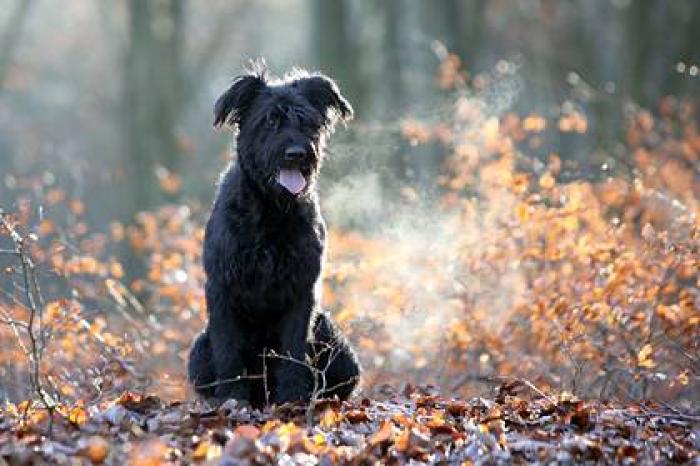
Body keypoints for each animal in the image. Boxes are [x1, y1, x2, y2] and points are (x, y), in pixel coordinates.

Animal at [187, 63, 360, 406]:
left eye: (306, 121)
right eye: (270, 120)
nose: (297, 153)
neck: (270, 211)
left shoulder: (301, 290)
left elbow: (294, 349)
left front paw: (292, 398)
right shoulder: (221, 288)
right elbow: (228, 351)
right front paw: (233, 399)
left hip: (339, 348)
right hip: (199, 351)